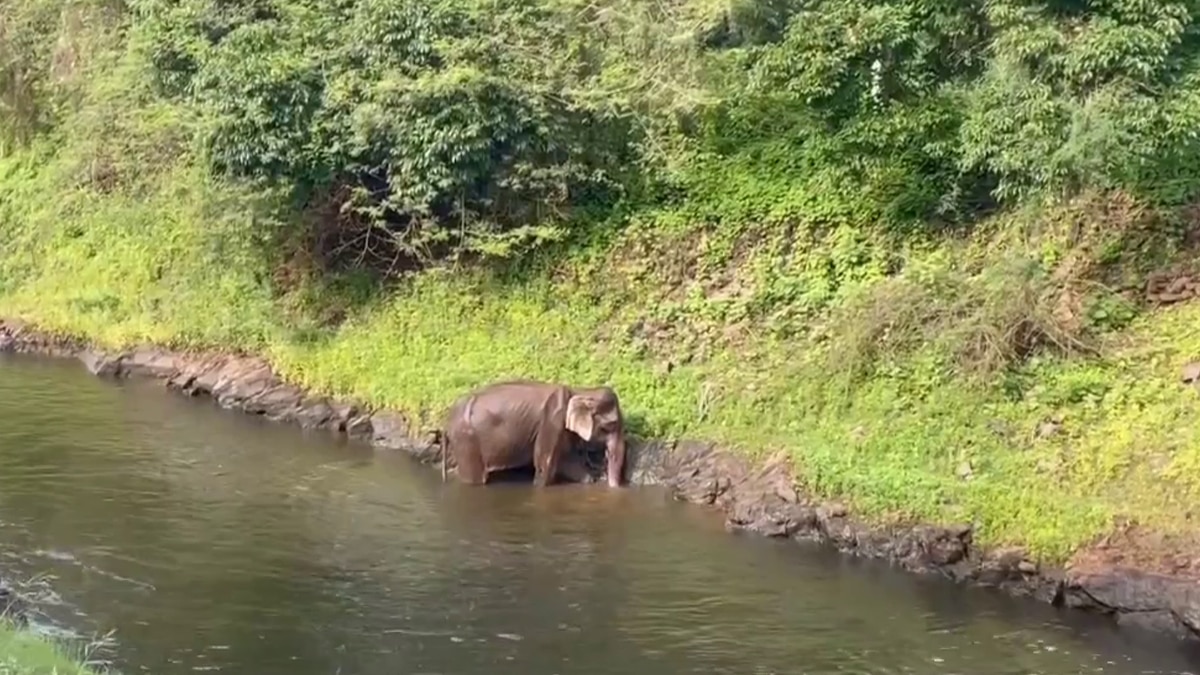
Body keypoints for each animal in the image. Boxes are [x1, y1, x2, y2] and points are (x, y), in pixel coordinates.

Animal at [441, 379, 628, 482]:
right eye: (609, 426)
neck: (580, 390)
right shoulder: (552, 419)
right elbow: (545, 465)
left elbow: (567, 460)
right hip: (465, 438)